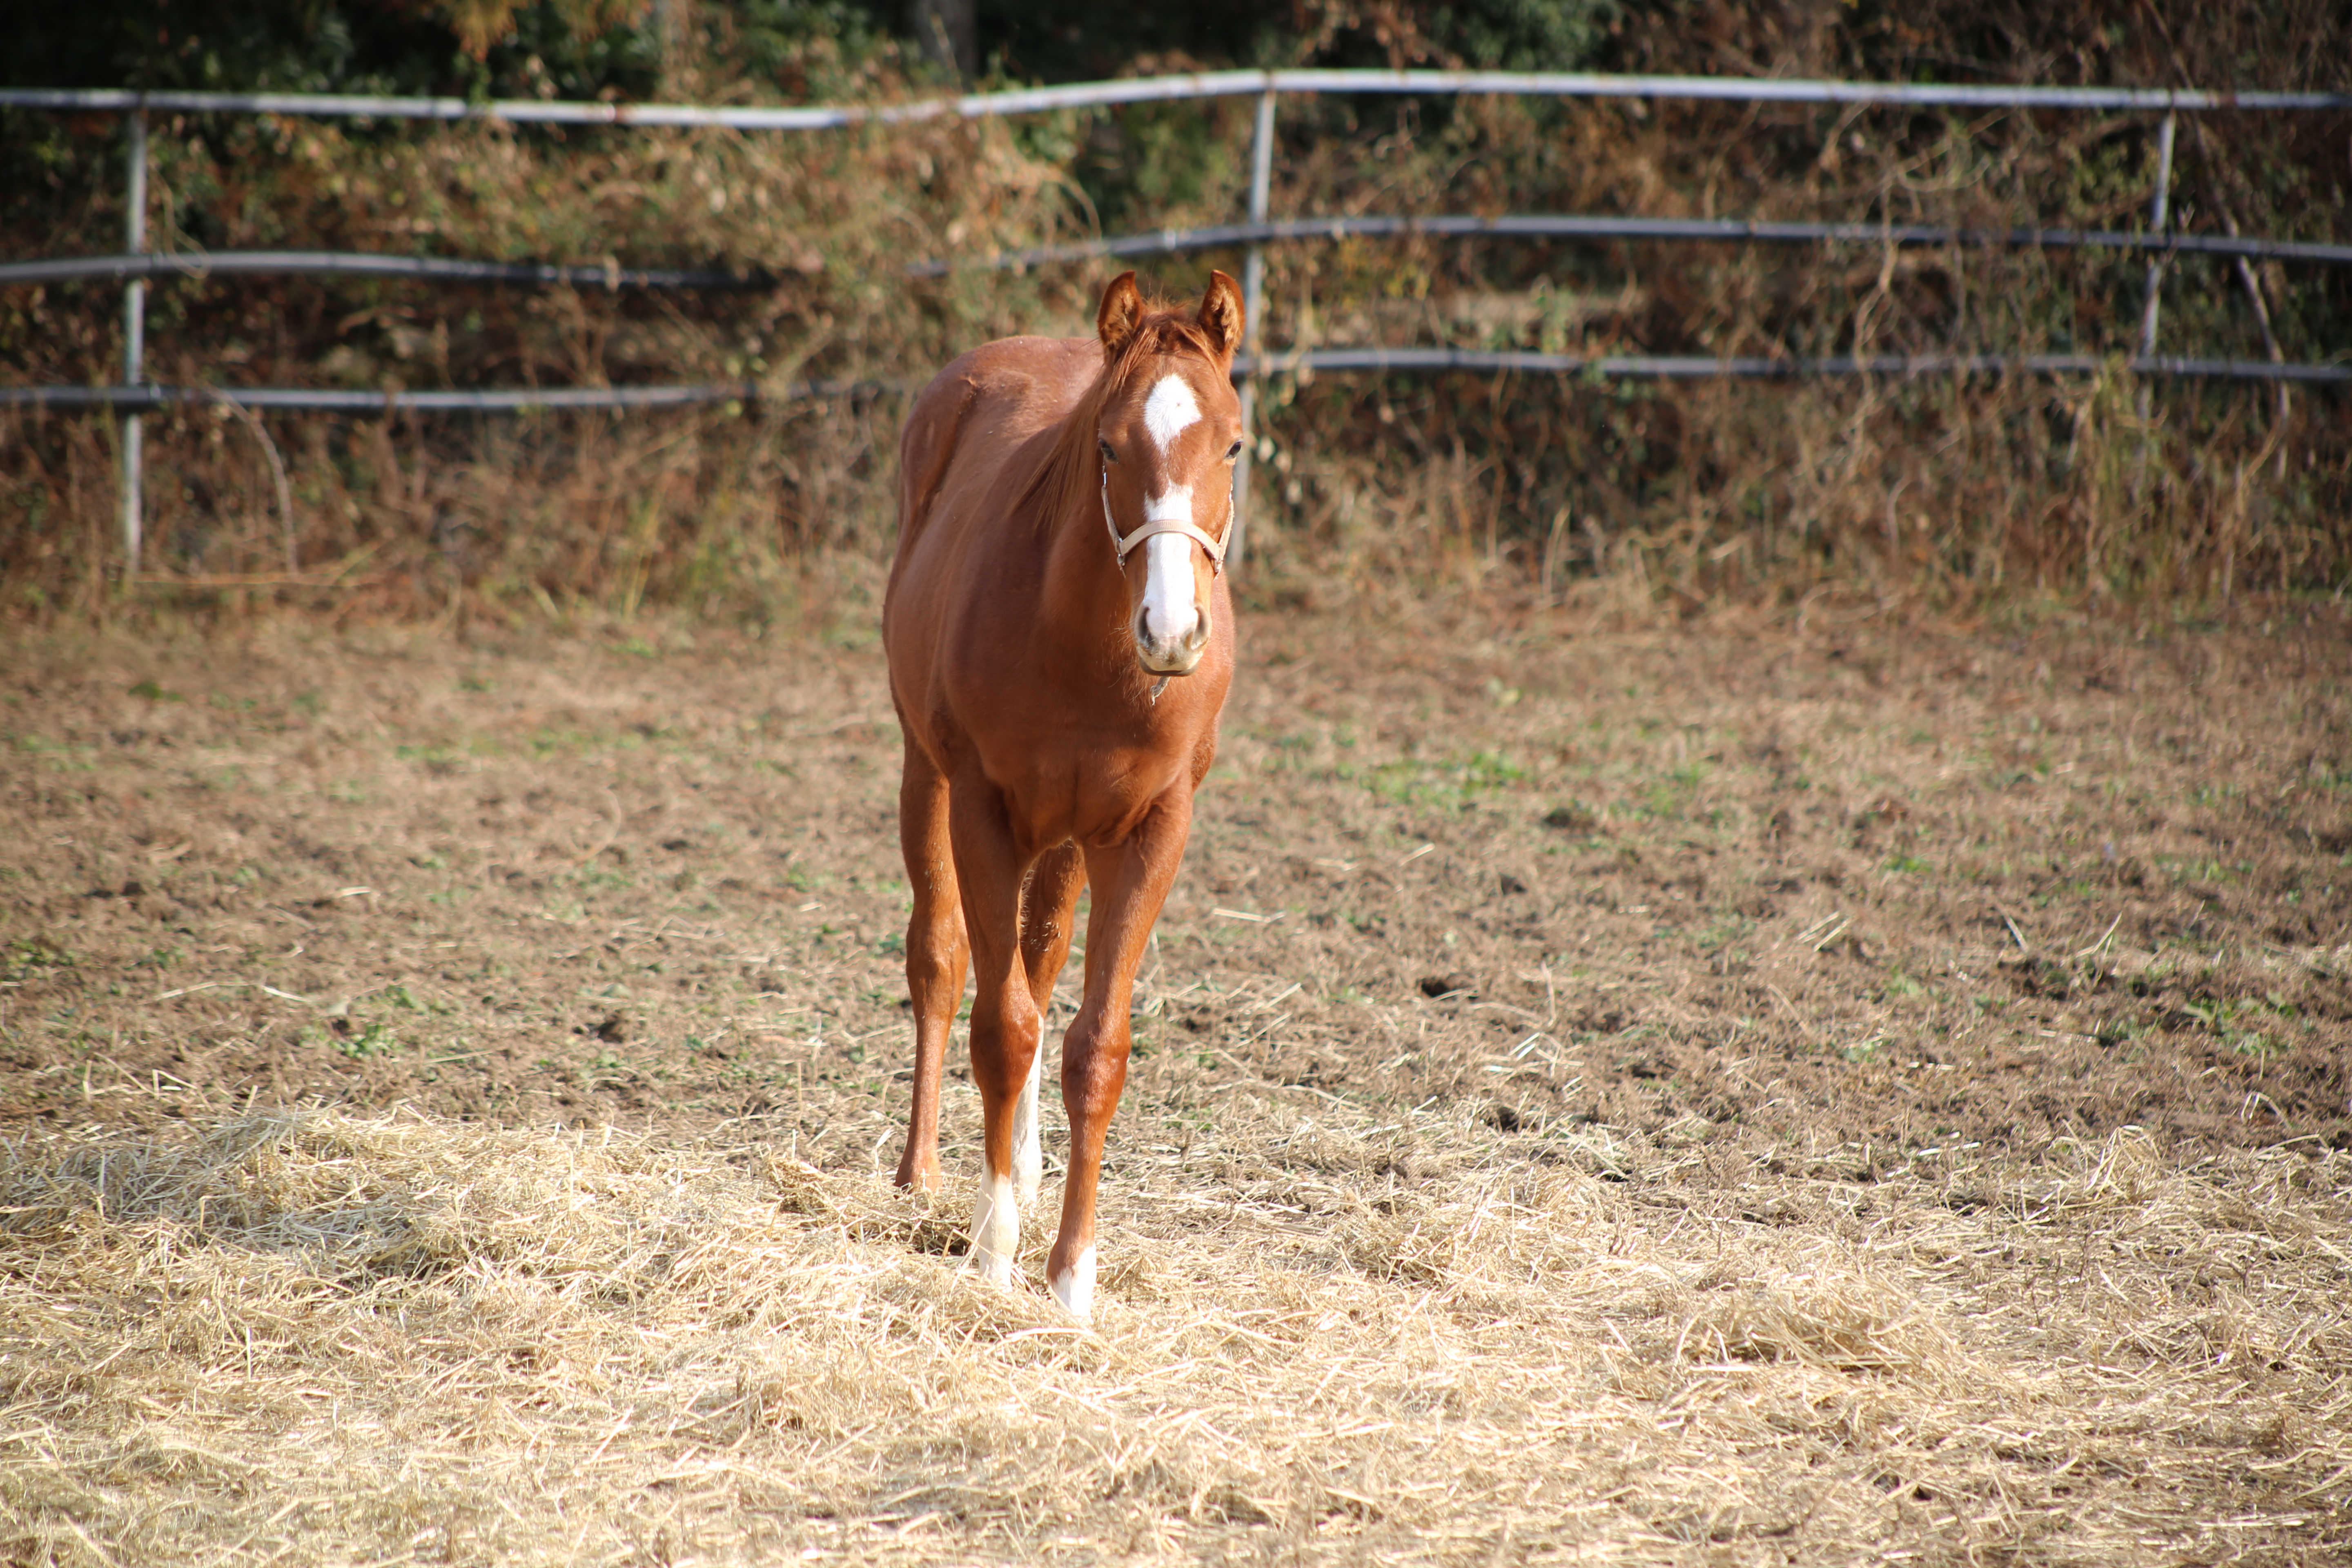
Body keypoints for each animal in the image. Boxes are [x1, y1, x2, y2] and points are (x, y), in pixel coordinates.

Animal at [884, 272, 1251, 1326]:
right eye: (1109, 445)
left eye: (1233, 443)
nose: (1172, 632)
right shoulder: (981, 810)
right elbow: (998, 1028)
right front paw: (993, 1250)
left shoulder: (1148, 832)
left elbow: (1095, 1046)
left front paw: (1072, 1272)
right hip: (926, 778)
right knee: (942, 962)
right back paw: (922, 1177)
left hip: (1068, 842)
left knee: (1039, 963)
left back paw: (1028, 1165)